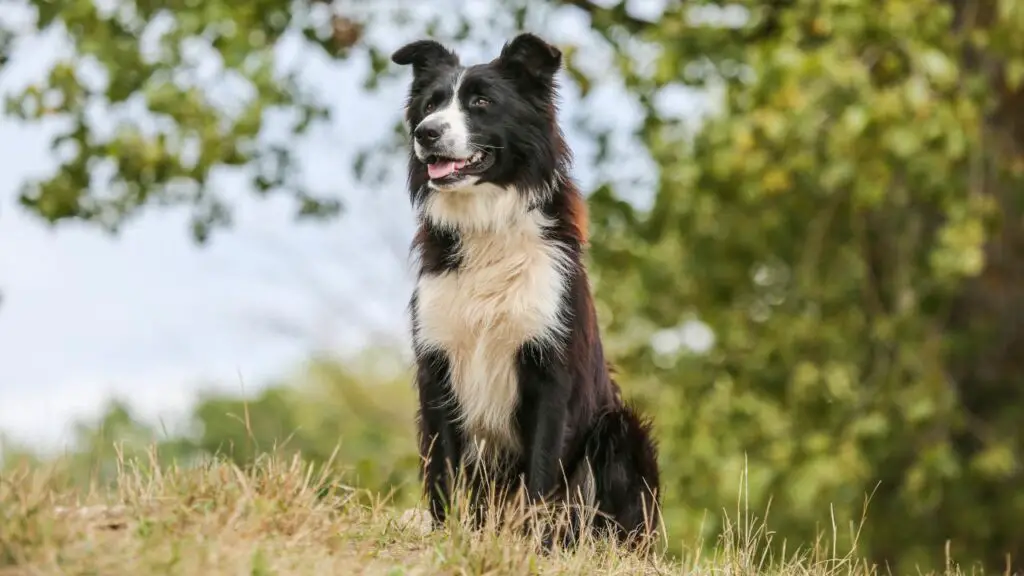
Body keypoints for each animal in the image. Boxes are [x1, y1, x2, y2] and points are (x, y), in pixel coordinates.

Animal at [391, 32, 663, 545]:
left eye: (481, 102)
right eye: (431, 104)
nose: (426, 134)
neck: (487, 223)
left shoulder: (549, 370)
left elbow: (540, 470)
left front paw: (528, 544)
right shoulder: (437, 365)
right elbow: (442, 470)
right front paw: (445, 533)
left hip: (620, 430)